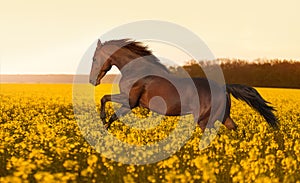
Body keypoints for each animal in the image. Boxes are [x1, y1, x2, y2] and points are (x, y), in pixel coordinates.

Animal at [89, 38, 278, 131]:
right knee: (236, 129)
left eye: (94, 59)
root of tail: (223, 88)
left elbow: (106, 101)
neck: (138, 71)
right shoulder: (132, 104)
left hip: (204, 120)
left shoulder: (130, 101)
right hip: (223, 116)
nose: (92, 81)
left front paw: (102, 121)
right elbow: (110, 109)